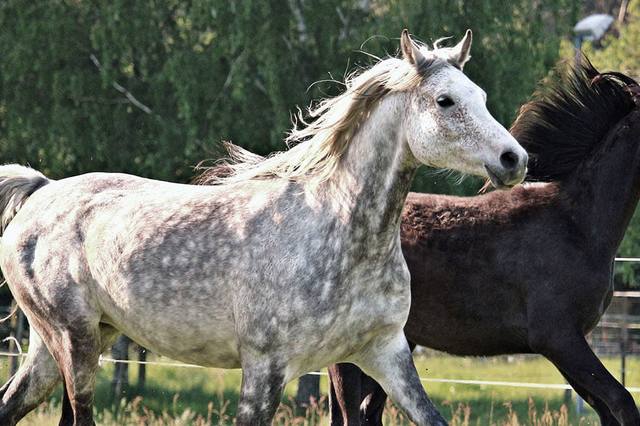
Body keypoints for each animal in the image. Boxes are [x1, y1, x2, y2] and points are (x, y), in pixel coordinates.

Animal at [0, 30, 527, 425]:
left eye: (480, 96)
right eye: (445, 100)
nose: (514, 159)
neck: (340, 236)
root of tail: (41, 189)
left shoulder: (386, 352)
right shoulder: (264, 370)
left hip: (67, 344)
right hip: (75, 341)